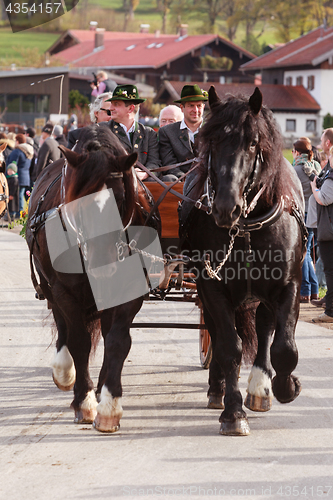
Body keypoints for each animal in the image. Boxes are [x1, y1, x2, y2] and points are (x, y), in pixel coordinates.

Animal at [26, 124, 161, 430]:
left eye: (121, 199)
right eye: (80, 202)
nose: (103, 265)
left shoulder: (128, 289)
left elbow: (117, 341)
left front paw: (109, 405)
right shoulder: (63, 290)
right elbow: (79, 341)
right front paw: (84, 401)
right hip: (52, 288)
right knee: (63, 326)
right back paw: (65, 372)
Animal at [180, 88, 304, 436]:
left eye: (252, 142)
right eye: (211, 141)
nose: (226, 207)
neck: (246, 227)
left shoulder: (289, 286)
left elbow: (284, 347)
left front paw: (284, 387)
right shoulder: (212, 287)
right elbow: (228, 347)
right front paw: (233, 413)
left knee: (264, 328)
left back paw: (260, 386)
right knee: (220, 332)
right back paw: (217, 389)